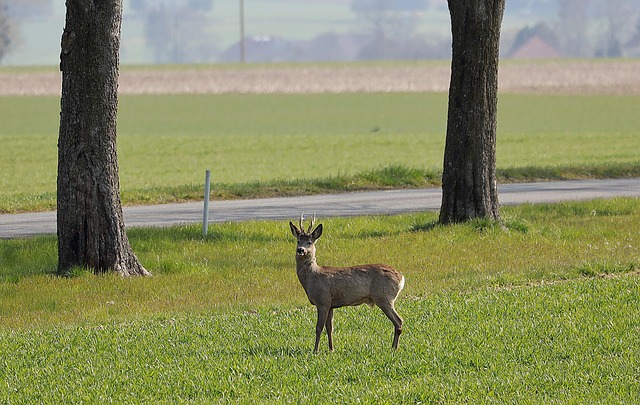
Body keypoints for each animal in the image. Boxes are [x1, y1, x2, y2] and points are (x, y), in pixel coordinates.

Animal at [289, 214, 405, 353]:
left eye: (309, 242)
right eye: (298, 241)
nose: (300, 250)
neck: (312, 277)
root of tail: (401, 278)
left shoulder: (322, 300)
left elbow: (318, 328)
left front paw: (315, 350)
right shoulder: (331, 304)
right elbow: (330, 328)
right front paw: (331, 349)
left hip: (384, 297)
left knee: (398, 321)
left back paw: (394, 348)